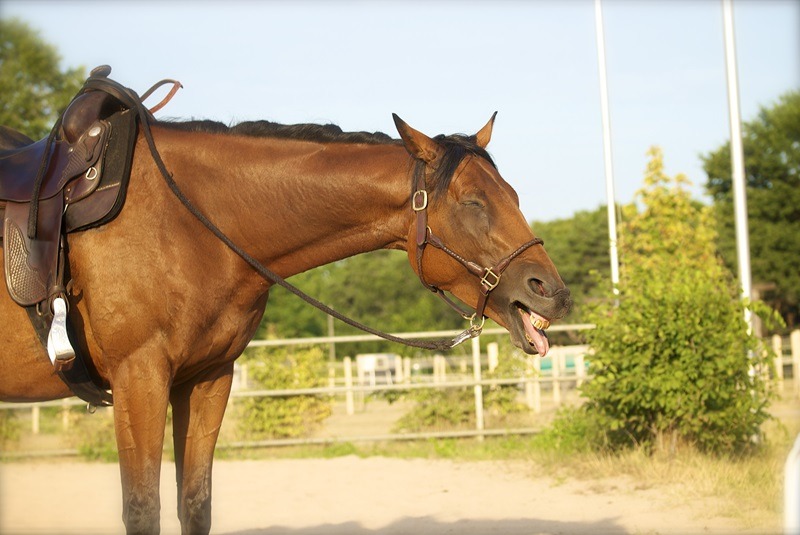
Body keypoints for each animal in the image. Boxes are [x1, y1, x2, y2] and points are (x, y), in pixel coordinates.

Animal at [1, 101, 571, 533]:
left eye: (513, 195)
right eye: (474, 202)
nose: (553, 293)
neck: (185, 221)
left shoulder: (208, 379)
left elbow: (195, 505)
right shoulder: (139, 378)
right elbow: (143, 511)